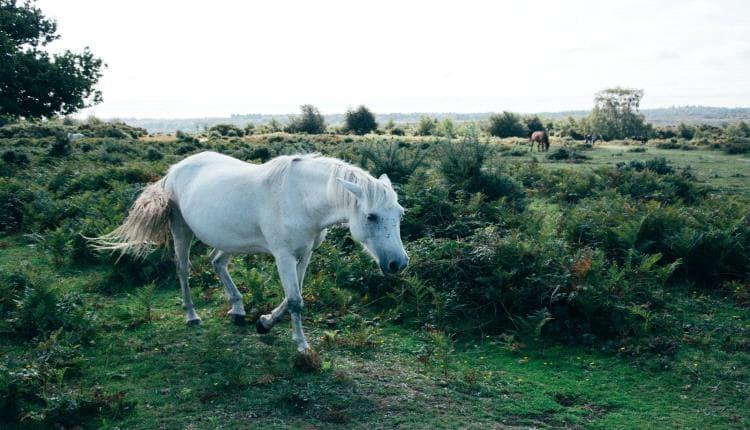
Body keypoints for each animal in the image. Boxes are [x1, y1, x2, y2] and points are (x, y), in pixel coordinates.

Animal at [91, 151, 409, 352]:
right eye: (371, 216)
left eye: (400, 214)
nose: (399, 263)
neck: (300, 198)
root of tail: (173, 170)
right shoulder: (283, 255)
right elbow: (295, 300)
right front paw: (301, 345)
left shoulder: (304, 253)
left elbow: (293, 296)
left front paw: (264, 322)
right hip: (181, 231)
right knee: (182, 269)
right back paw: (191, 315)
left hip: (228, 239)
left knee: (217, 262)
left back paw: (238, 309)